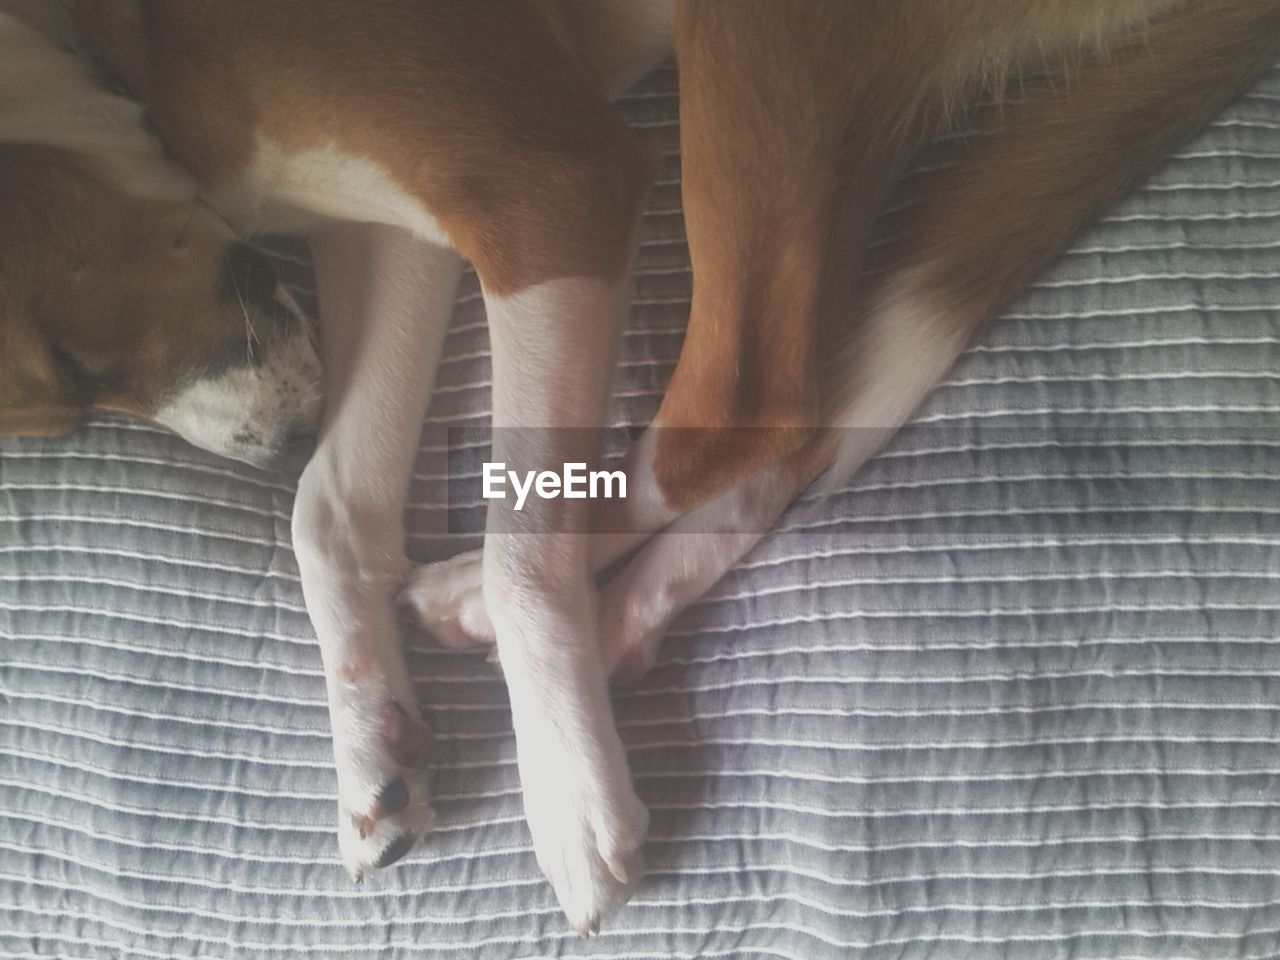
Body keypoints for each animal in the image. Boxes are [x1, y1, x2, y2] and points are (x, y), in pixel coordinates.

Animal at [2, 0, 1280, 936]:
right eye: (65, 403)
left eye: (70, 367)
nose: (260, 451)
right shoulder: (391, 229)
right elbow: (326, 511)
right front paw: (371, 741)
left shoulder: (544, 187)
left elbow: (520, 540)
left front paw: (568, 788)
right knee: (806, 412)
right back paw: (614, 619)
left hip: (755, 41)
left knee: (739, 413)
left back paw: (503, 608)